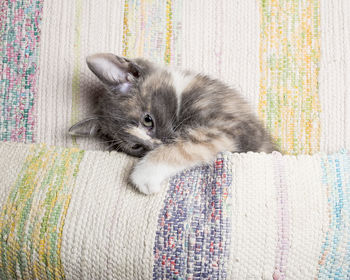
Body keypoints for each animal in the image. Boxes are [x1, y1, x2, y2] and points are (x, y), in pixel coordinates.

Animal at [69, 54, 278, 195]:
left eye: (148, 120)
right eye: (135, 146)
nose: (157, 145)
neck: (182, 90)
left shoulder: (230, 125)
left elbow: (189, 144)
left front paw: (146, 173)